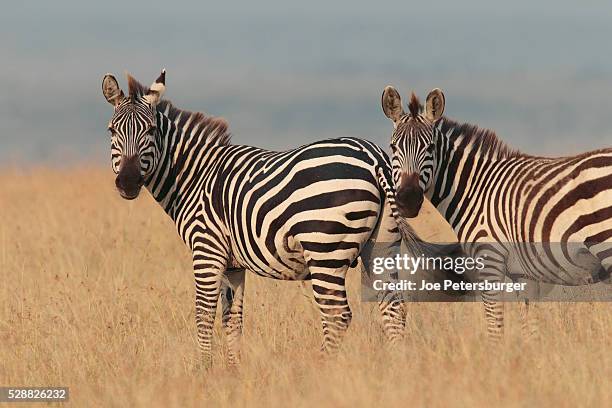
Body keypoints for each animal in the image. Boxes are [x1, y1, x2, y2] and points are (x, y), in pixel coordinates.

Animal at [101, 70, 454, 366]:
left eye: (150, 130)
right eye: (112, 131)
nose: (127, 183)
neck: (195, 175)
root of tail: (374, 158)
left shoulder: (206, 250)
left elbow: (203, 314)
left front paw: (204, 369)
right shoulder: (233, 264)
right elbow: (232, 318)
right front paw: (232, 371)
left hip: (325, 249)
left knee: (337, 315)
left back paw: (319, 368)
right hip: (380, 245)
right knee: (393, 307)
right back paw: (396, 366)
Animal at [380, 84, 612, 340]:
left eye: (430, 147)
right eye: (393, 147)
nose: (407, 200)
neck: (476, 188)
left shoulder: (489, 259)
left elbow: (494, 325)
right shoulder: (524, 275)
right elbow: (530, 329)